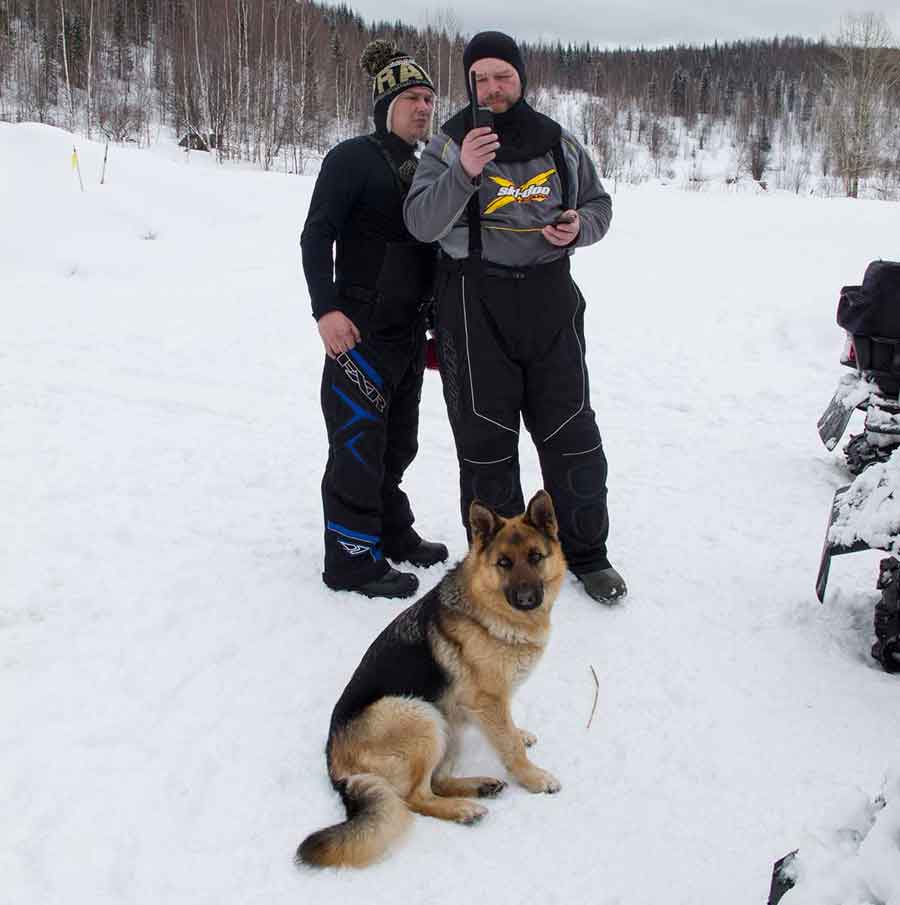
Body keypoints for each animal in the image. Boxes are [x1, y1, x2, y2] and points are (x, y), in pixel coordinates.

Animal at [298, 490, 568, 864]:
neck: (490, 610)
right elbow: (510, 747)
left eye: (535, 557)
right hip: (419, 713)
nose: (527, 598)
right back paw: (463, 810)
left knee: (436, 781)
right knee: (415, 798)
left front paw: (520, 733)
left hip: (445, 724)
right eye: (504, 563)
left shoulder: (490, 705)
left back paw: (479, 786)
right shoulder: (487, 701)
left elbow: (509, 731)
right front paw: (535, 778)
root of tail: (334, 766)